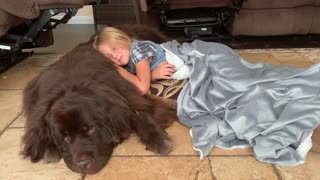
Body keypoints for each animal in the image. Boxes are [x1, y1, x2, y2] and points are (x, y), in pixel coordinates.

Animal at [21, 26, 176, 174]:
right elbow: (39, 130)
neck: (73, 83)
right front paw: (49, 148)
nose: (83, 164)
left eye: (91, 129)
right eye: (65, 138)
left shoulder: (126, 95)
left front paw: (158, 139)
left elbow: (141, 113)